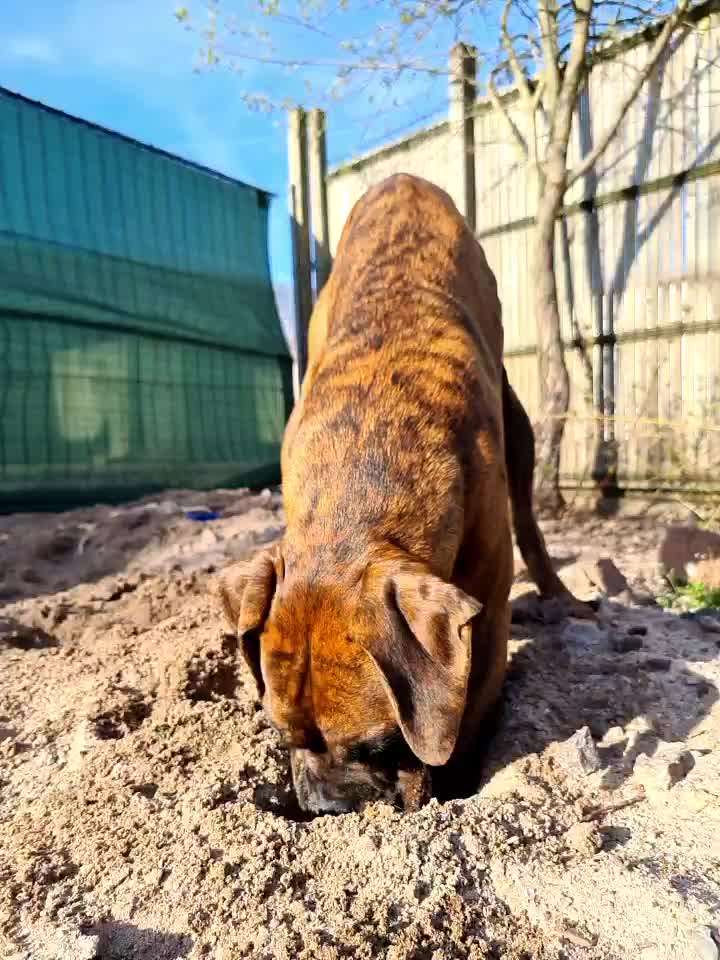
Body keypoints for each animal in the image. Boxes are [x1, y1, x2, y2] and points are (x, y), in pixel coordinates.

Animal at [221, 174, 592, 816]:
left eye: (380, 747)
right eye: (282, 735)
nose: (328, 808)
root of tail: (403, 179)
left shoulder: (486, 618)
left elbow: (464, 716)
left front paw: (452, 783)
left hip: (520, 427)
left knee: (532, 521)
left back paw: (559, 594)